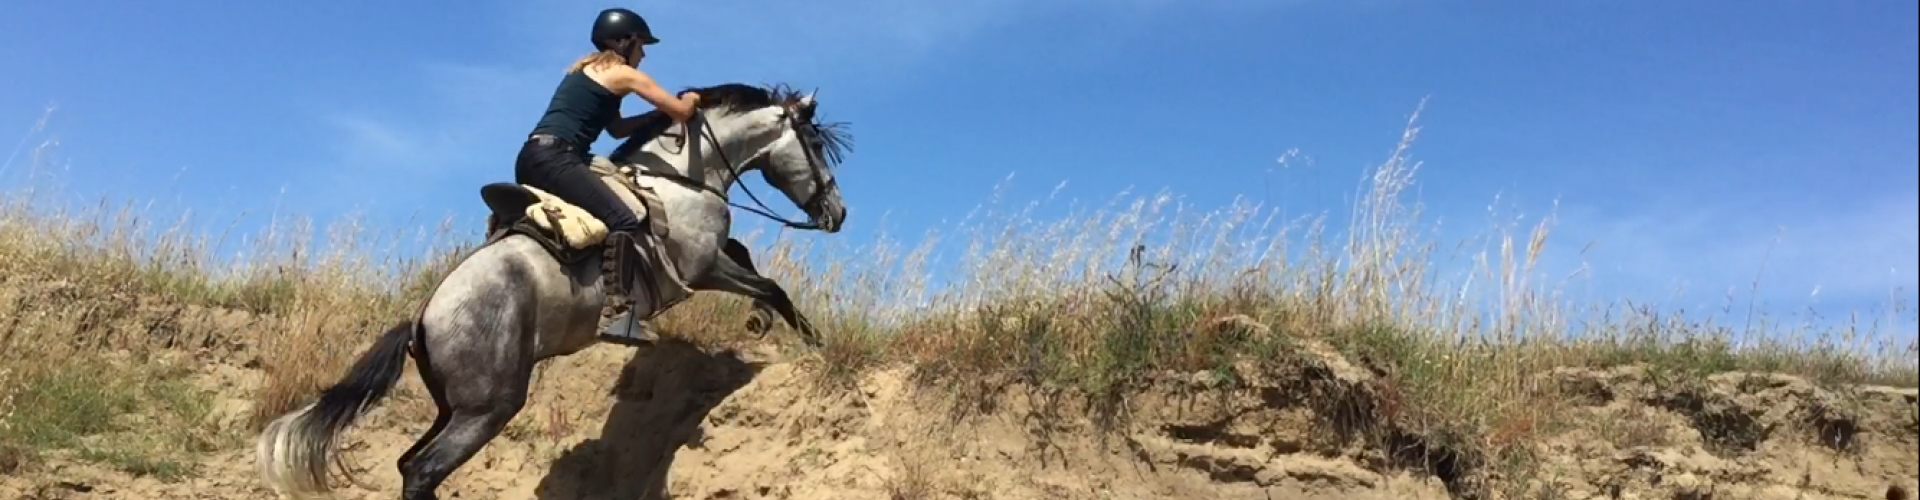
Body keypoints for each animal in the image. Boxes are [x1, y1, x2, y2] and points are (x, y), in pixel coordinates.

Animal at [251, 83, 852, 500]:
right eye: (815, 143)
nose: (838, 213)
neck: (682, 177)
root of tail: (423, 318)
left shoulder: (712, 260)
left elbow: (753, 265)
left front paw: (764, 323)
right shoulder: (700, 268)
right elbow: (772, 286)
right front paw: (810, 340)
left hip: (455, 406)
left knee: (409, 464)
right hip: (488, 408)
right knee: (422, 470)